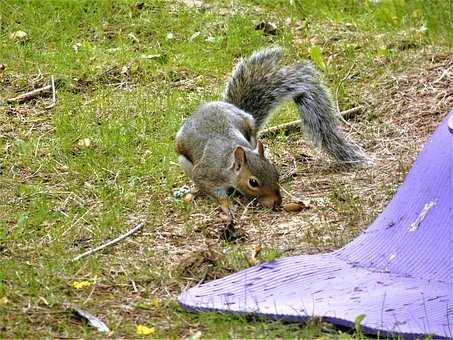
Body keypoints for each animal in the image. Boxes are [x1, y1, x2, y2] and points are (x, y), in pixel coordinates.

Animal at [175, 47, 366, 220]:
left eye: (276, 173)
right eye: (253, 182)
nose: (277, 201)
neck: (229, 161)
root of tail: (229, 106)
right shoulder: (206, 173)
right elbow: (212, 189)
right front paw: (227, 206)